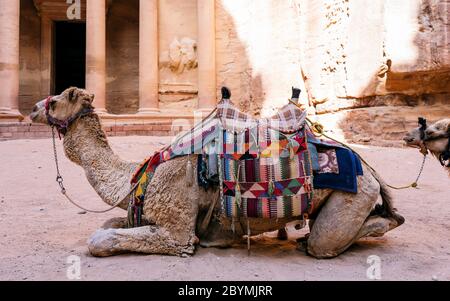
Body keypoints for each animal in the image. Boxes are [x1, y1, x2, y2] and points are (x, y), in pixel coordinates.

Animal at [30, 86, 404, 258]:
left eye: (56, 100)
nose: (32, 109)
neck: (137, 178)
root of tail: (370, 170)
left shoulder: (176, 231)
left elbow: (100, 239)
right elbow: (110, 223)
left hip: (354, 193)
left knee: (327, 240)